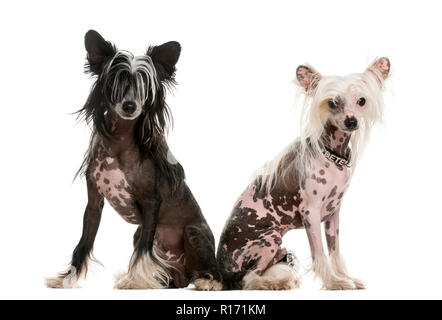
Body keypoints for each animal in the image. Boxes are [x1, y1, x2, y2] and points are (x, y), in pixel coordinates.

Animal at [45, 30, 221, 290]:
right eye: (116, 83)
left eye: (144, 85)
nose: (130, 105)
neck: (119, 143)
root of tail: (183, 276)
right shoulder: (94, 203)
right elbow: (83, 244)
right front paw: (67, 279)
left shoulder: (151, 203)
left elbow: (144, 249)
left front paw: (136, 281)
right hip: (140, 236)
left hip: (193, 233)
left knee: (215, 270)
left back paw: (208, 282)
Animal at [218, 57, 390, 290]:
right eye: (332, 102)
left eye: (361, 101)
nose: (351, 121)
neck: (333, 156)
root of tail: (220, 270)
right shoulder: (311, 213)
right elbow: (319, 253)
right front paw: (334, 282)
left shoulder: (333, 215)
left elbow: (334, 251)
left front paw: (344, 277)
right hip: (270, 237)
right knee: (248, 279)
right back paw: (274, 284)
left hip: (280, 249)